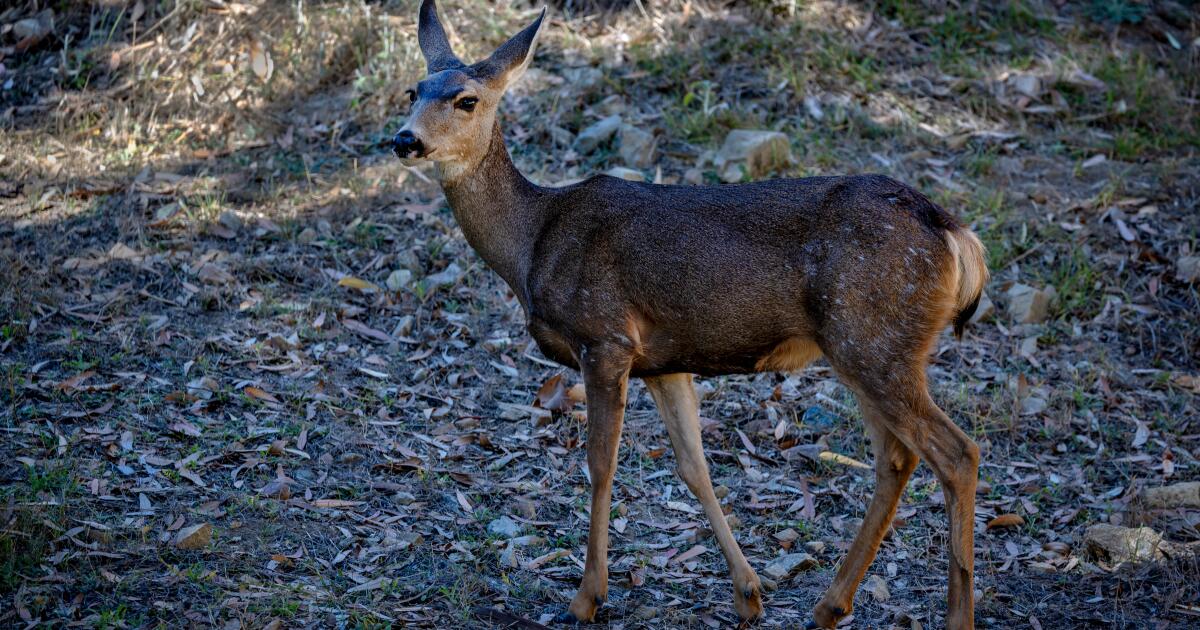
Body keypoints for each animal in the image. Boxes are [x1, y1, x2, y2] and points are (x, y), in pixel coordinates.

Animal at [393, 2, 993, 624]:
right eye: (413, 91)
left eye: (467, 100)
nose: (404, 139)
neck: (532, 243)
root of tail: (955, 233)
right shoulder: (664, 361)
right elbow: (693, 466)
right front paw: (748, 593)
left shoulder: (604, 337)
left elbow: (601, 465)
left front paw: (587, 596)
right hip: (870, 348)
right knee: (897, 459)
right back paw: (831, 605)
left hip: (872, 339)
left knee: (956, 453)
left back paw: (951, 614)